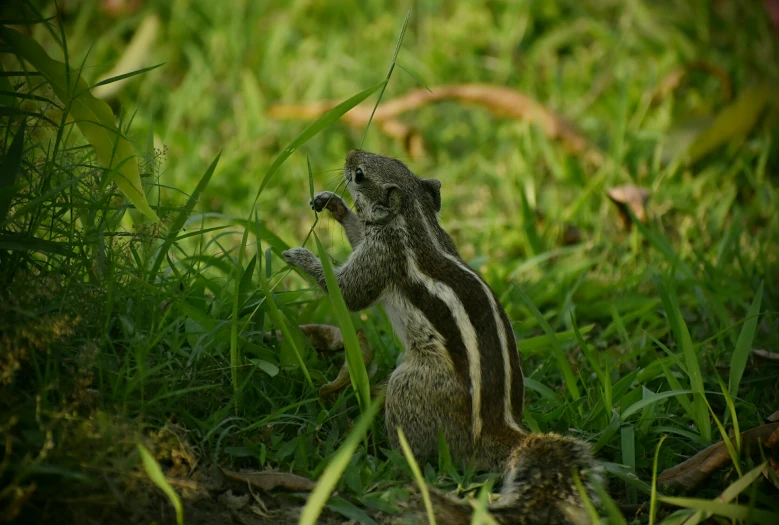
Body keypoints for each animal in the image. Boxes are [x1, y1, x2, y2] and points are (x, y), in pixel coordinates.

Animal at [284, 149, 600, 520]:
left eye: (359, 174)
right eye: (393, 159)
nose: (350, 154)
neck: (415, 219)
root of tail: (497, 433)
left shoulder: (382, 255)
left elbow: (349, 293)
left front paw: (300, 255)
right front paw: (333, 203)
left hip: (411, 385)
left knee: (417, 447)